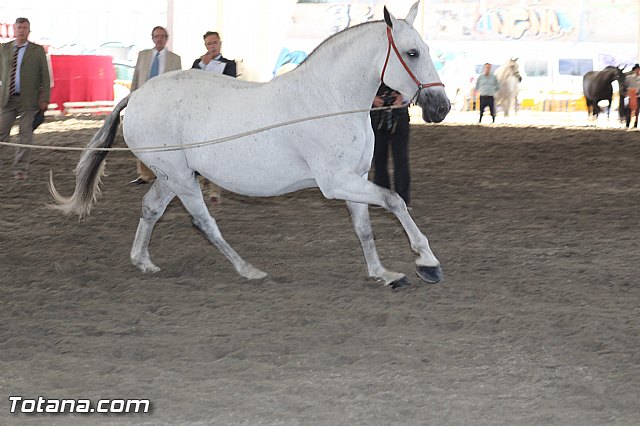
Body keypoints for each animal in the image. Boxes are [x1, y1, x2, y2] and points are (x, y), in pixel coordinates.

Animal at [49, 1, 451, 290]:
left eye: (427, 48)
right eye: (412, 53)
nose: (441, 107)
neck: (329, 98)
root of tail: (138, 94)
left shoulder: (354, 178)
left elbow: (365, 228)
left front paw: (383, 273)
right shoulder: (336, 182)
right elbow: (394, 200)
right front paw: (427, 263)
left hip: (172, 174)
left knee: (151, 208)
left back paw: (143, 262)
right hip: (180, 177)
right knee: (203, 222)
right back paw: (249, 270)